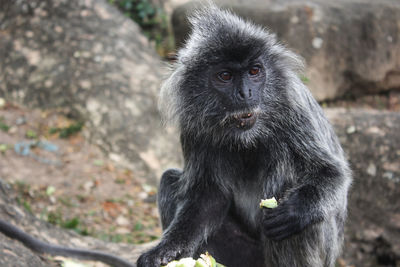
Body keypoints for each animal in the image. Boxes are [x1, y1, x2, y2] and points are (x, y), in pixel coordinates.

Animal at [137, 3, 350, 267]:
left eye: (254, 71)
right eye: (225, 76)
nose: (246, 93)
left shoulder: (294, 107)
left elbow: (332, 174)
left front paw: (296, 210)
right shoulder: (193, 126)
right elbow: (207, 199)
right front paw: (165, 250)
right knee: (168, 179)